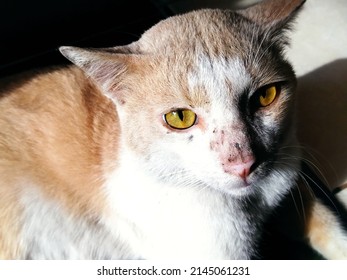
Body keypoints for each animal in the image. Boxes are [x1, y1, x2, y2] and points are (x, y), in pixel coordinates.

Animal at [0, 0, 346, 260]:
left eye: (265, 96)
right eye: (180, 117)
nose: (243, 163)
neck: (251, 203)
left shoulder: (290, 181)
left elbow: (328, 225)